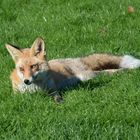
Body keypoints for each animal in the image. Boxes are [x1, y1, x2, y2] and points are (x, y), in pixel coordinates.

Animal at [5, 37, 140, 103]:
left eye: (33, 66)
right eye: (21, 69)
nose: (26, 81)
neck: (36, 88)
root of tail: (76, 59)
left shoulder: (53, 89)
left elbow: (56, 96)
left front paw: (59, 102)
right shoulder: (18, 95)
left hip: (89, 75)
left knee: (110, 71)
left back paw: (127, 70)